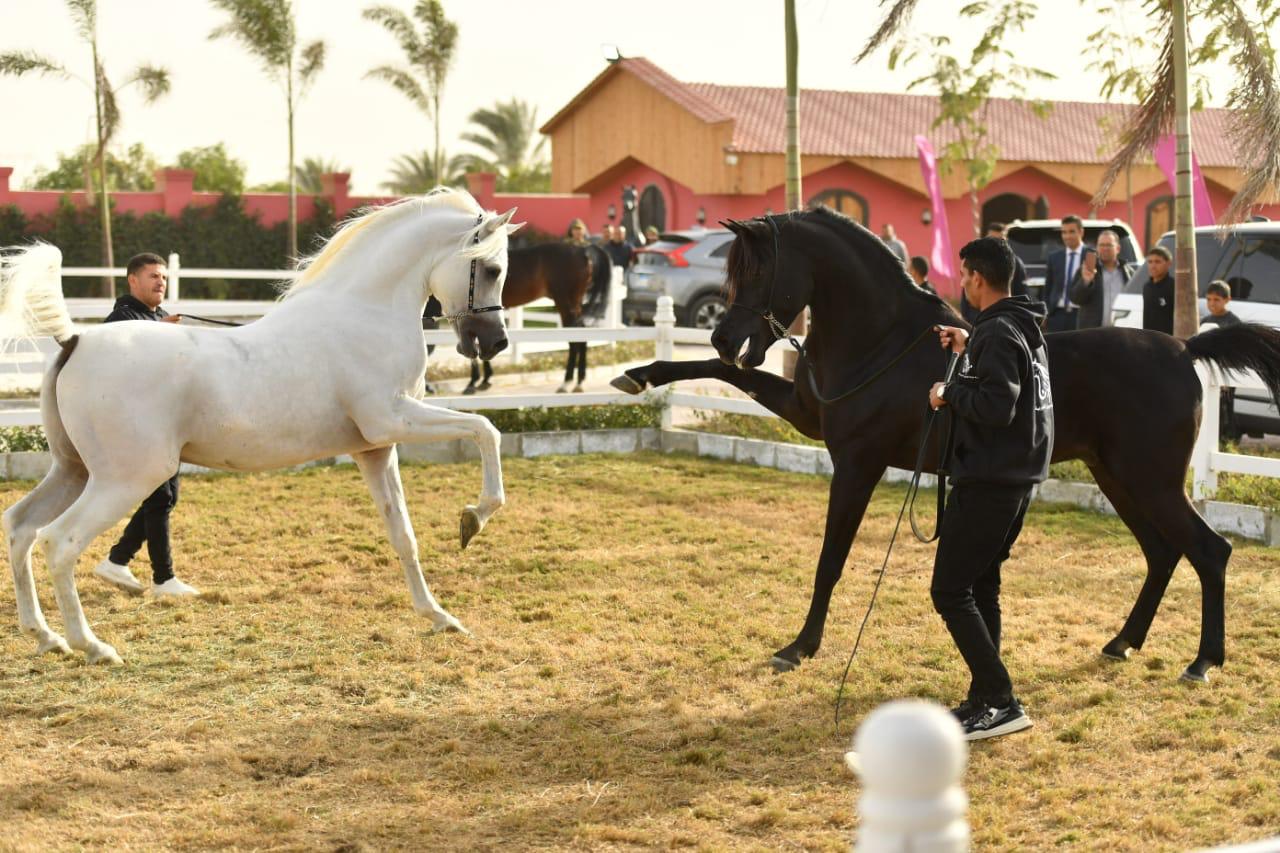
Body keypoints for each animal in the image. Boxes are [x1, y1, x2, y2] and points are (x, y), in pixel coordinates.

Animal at [1, 188, 519, 666]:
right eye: (492, 270)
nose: (495, 342)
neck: (363, 313)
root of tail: (74, 340)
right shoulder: (392, 417)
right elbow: (484, 428)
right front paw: (474, 518)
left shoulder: (376, 448)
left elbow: (403, 535)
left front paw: (441, 617)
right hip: (125, 479)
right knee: (59, 543)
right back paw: (92, 646)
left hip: (74, 471)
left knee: (21, 526)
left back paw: (45, 637)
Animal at [463, 239, 611, 391]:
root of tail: (583, 250)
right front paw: (484, 379)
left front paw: (475, 382)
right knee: (582, 336)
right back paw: (579, 381)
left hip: (565, 304)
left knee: (574, 340)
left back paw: (566, 382)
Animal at [611, 207, 1280, 686]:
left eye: (754, 271)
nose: (725, 338)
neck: (881, 341)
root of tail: (1185, 350)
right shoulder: (805, 414)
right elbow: (717, 375)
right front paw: (637, 376)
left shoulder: (856, 463)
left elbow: (831, 558)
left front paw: (799, 647)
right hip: (1117, 477)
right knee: (1163, 554)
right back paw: (1122, 643)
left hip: (1150, 481)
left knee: (1209, 551)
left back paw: (1202, 662)